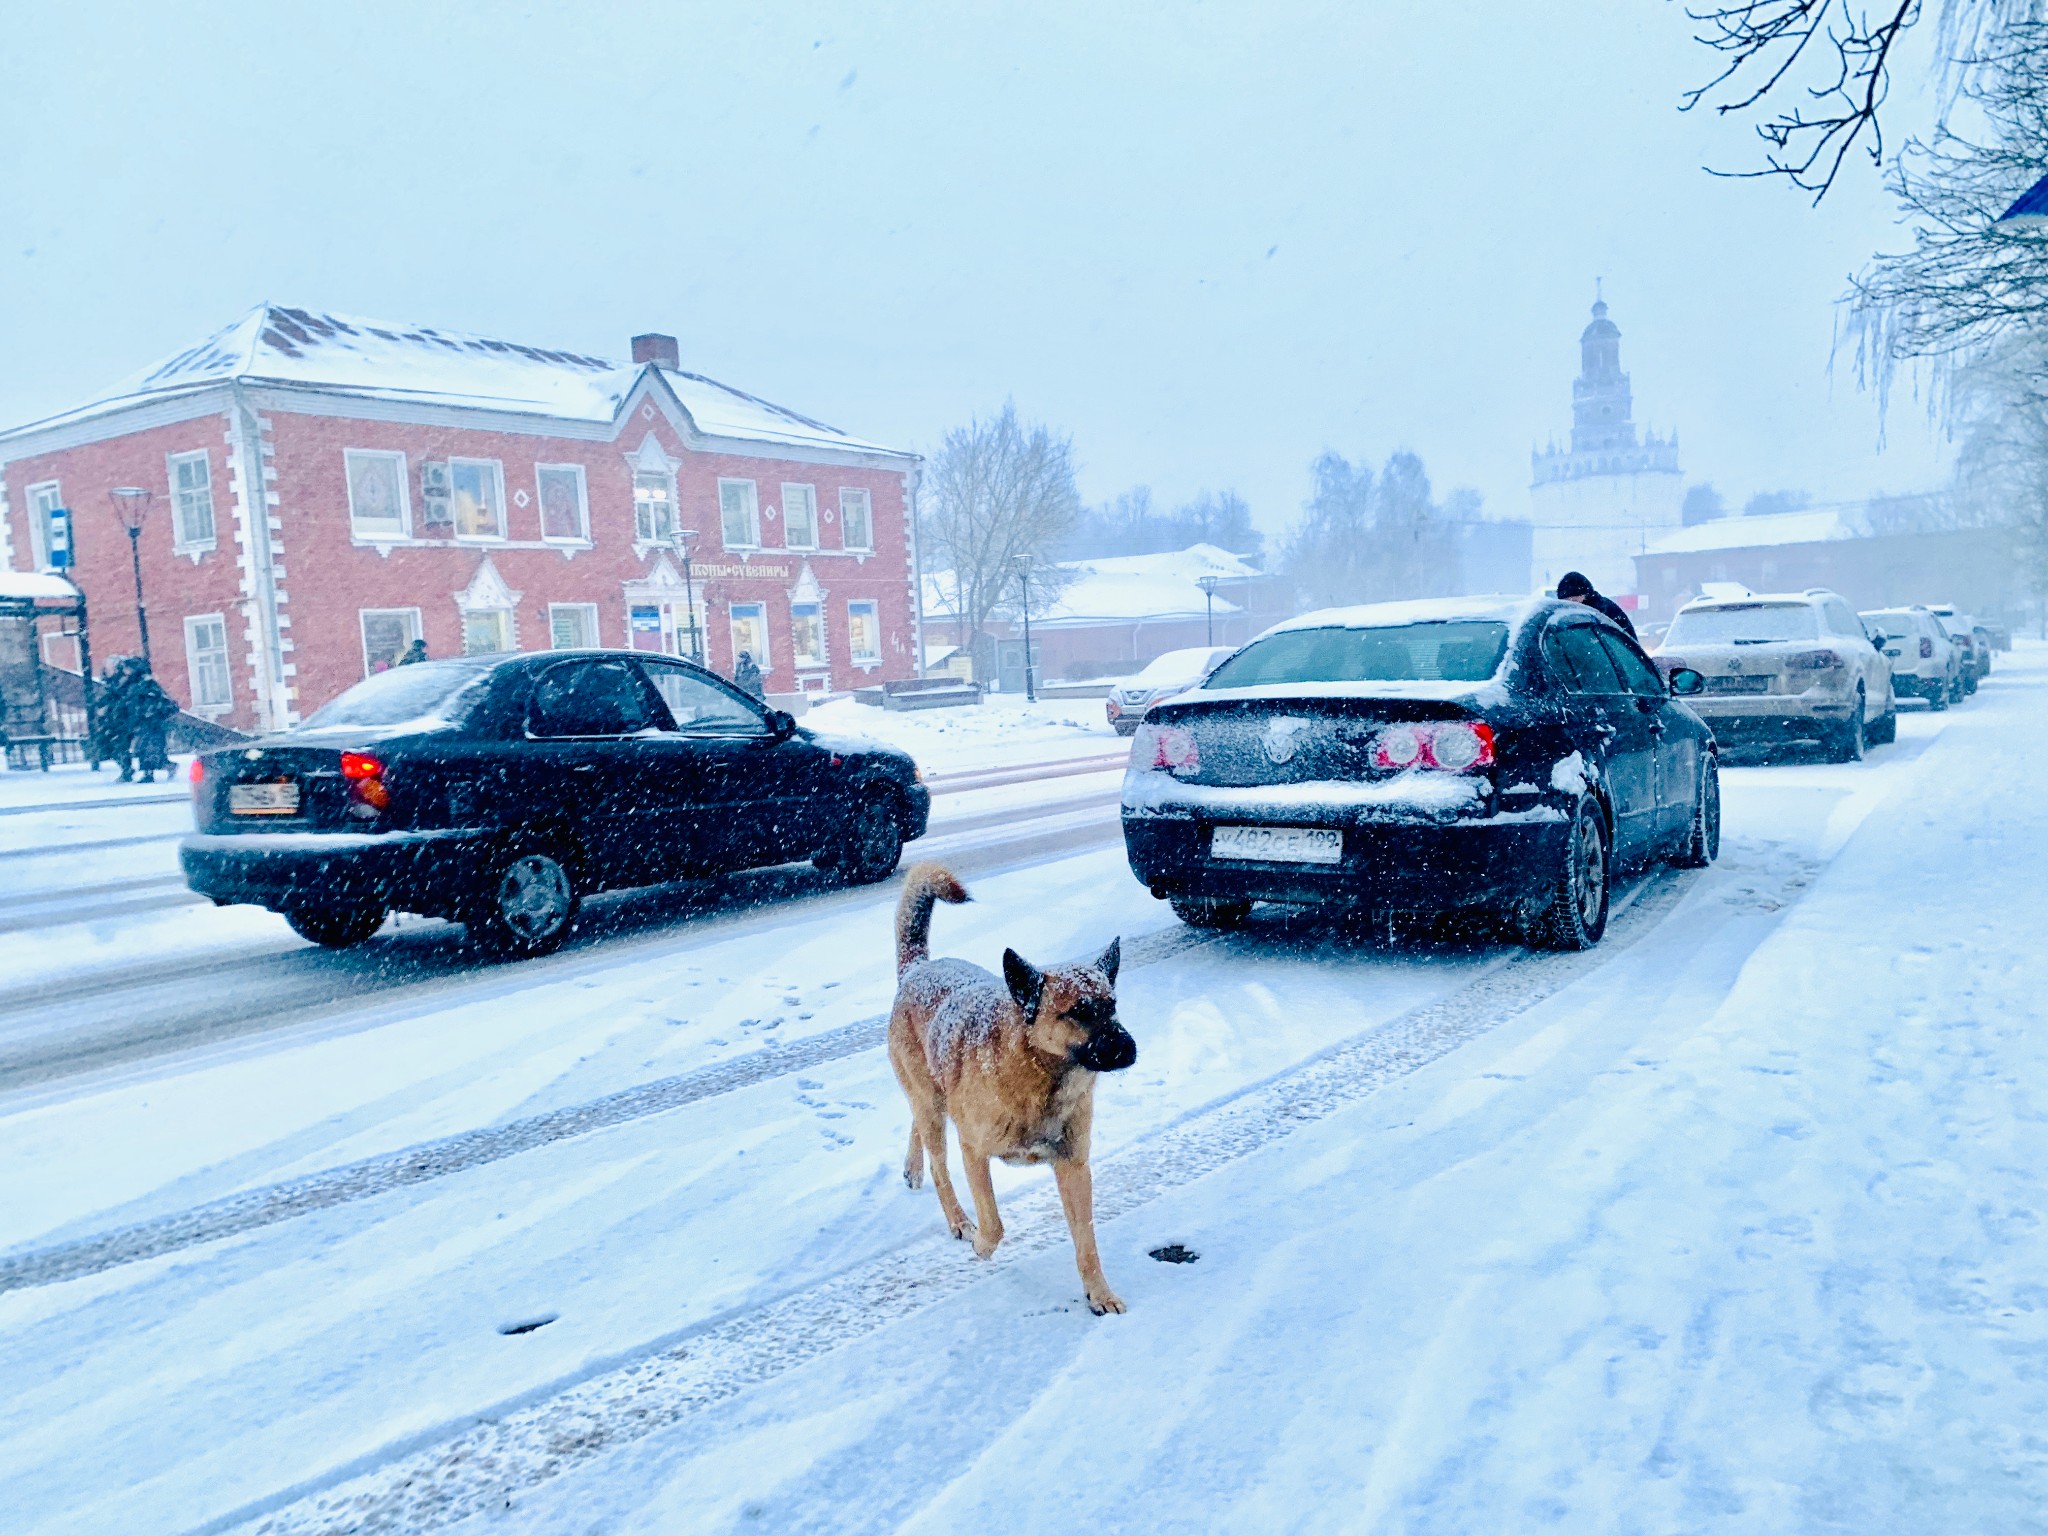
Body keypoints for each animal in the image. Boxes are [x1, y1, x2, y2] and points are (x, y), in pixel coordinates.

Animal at [888, 868, 1146, 1310]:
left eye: (1112, 1005)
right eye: (1079, 1012)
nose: (1129, 1049)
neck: (1040, 1078)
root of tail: (917, 969)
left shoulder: (1073, 1166)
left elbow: (1087, 1243)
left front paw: (1099, 1293)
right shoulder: (974, 1152)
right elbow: (994, 1224)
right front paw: (980, 1246)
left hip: (931, 1096)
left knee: (916, 1122)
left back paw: (912, 1167)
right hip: (933, 1109)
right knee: (939, 1165)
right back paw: (958, 1218)